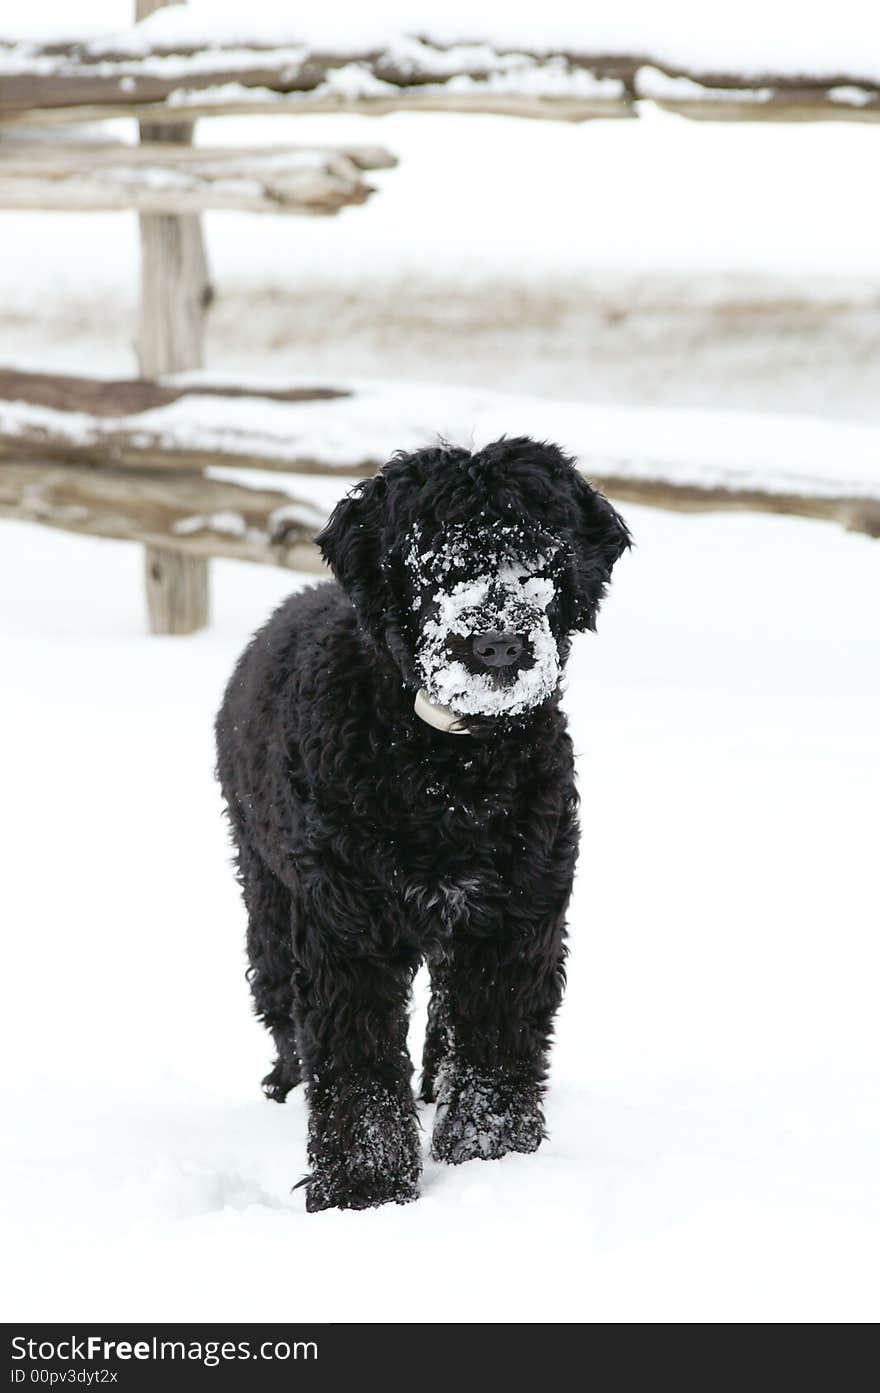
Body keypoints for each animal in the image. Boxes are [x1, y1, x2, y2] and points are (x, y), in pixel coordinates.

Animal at [215, 434, 629, 1209]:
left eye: (542, 555)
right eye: (432, 558)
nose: (497, 645)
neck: (448, 770)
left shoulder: (512, 918)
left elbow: (494, 1047)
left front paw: (493, 1159)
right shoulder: (345, 926)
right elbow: (358, 1062)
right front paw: (363, 1187)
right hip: (268, 890)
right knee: (281, 1002)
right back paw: (286, 1085)